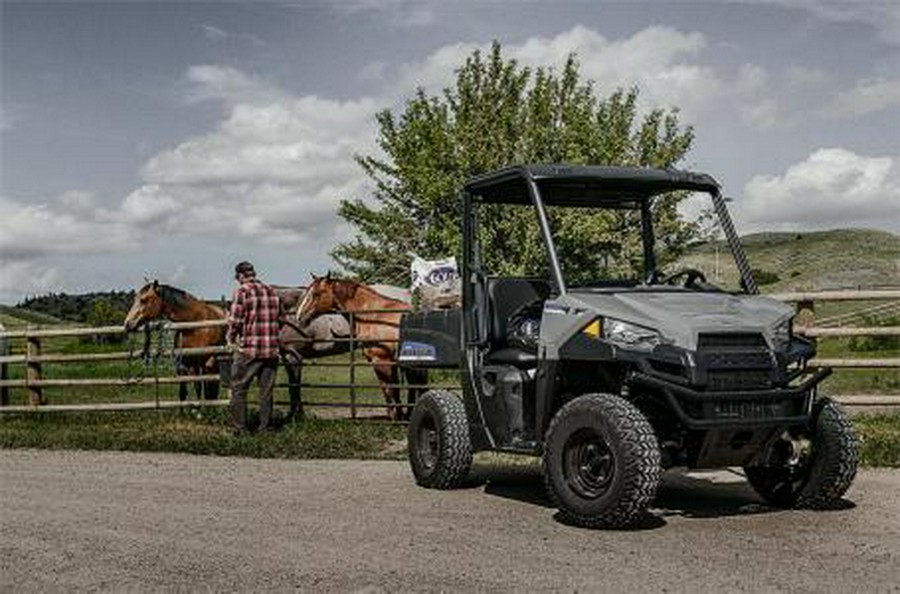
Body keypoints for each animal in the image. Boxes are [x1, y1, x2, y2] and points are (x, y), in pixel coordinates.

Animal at [294, 274, 424, 418]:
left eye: (316, 294)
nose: (299, 317)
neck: (372, 315)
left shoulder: (382, 360)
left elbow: (391, 390)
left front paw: (397, 417)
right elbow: (387, 389)